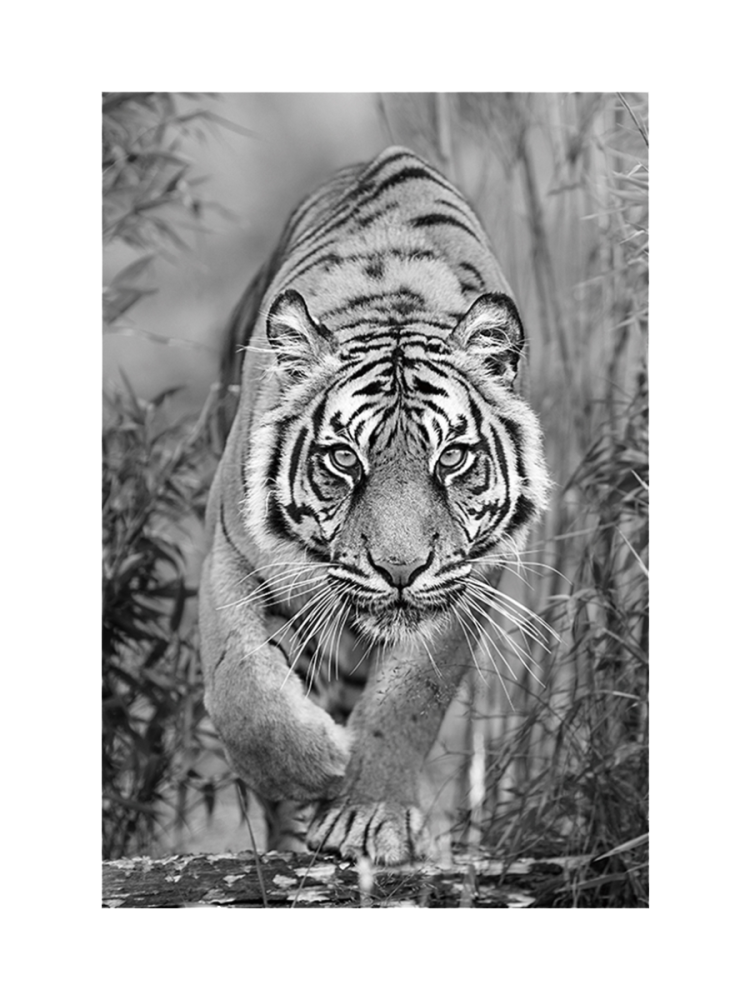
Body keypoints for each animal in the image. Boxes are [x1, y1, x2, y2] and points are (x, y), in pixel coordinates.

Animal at [199, 146, 550, 863]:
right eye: (343, 460)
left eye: (452, 458)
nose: (399, 570)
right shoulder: (231, 554)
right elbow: (241, 685)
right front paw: (315, 766)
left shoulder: (470, 581)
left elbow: (409, 699)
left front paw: (366, 815)